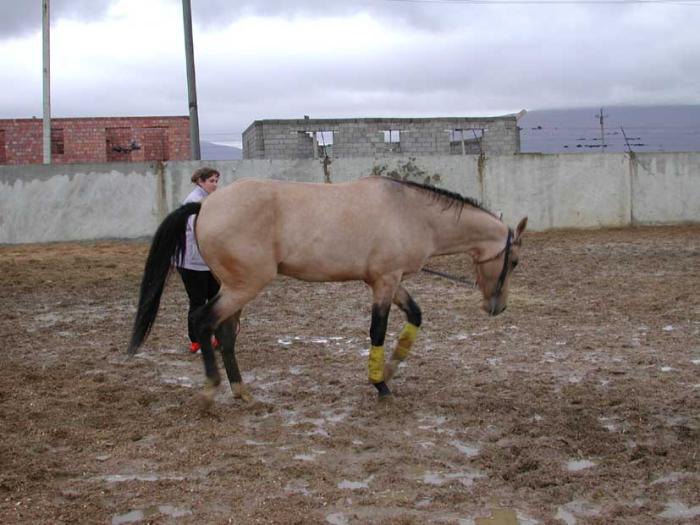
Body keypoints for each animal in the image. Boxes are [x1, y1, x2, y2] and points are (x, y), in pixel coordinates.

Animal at [129, 176, 528, 406]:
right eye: (514, 262)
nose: (498, 307)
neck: (410, 211)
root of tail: (205, 205)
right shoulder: (385, 281)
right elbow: (377, 330)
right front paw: (380, 384)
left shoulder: (388, 280)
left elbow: (414, 316)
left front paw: (391, 369)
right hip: (244, 286)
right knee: (202, 320)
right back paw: (212, 388)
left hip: (236, 288)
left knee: (224, 333)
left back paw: (241, 391)